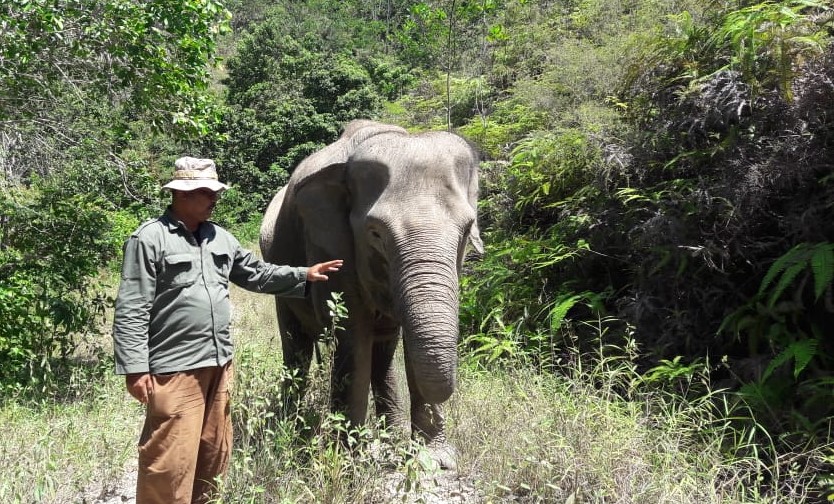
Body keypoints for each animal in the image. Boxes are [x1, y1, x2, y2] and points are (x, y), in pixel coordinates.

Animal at [258, 119, 480, 468]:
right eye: (375, 233)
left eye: (467, 230)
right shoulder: (330, 242)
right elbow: (353, 335)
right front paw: (347, 459)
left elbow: (410, 343)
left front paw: (432, 460)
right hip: (280, 280)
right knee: (297, 345)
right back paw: (289, 429)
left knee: (383, 351)